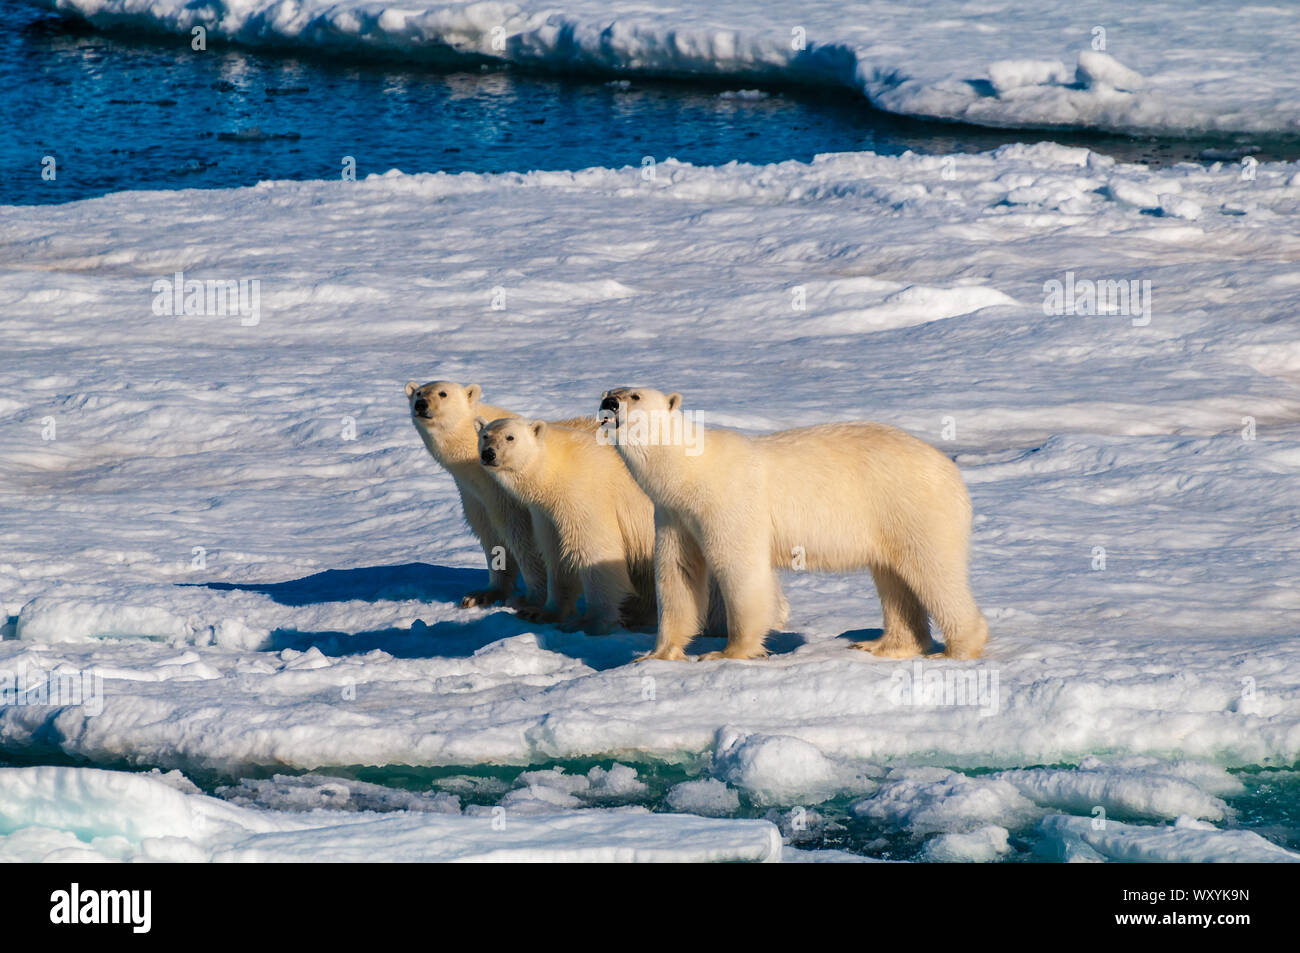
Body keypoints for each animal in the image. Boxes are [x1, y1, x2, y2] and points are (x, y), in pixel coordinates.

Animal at [474, 416, 661, 635]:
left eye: (510, 437)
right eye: (485, 435)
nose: (488, 454)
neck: (556, 467)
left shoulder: (584, 493)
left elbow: (595, 552)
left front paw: (589, 623)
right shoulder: (548, 513)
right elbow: (557, 555)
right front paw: (539, 612)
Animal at [597, 387, 988, 662]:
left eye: (634, 395)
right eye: (607, 391)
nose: (609, 404)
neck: (689, 473)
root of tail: (951, 470)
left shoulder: (727, 503)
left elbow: (740, 568)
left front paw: (728, 651)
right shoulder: (673, 515)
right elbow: (678, 572)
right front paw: (658, 654)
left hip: (913, 507)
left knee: (932, 570)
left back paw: (957, 648)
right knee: (894, 578)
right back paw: (882, 645)